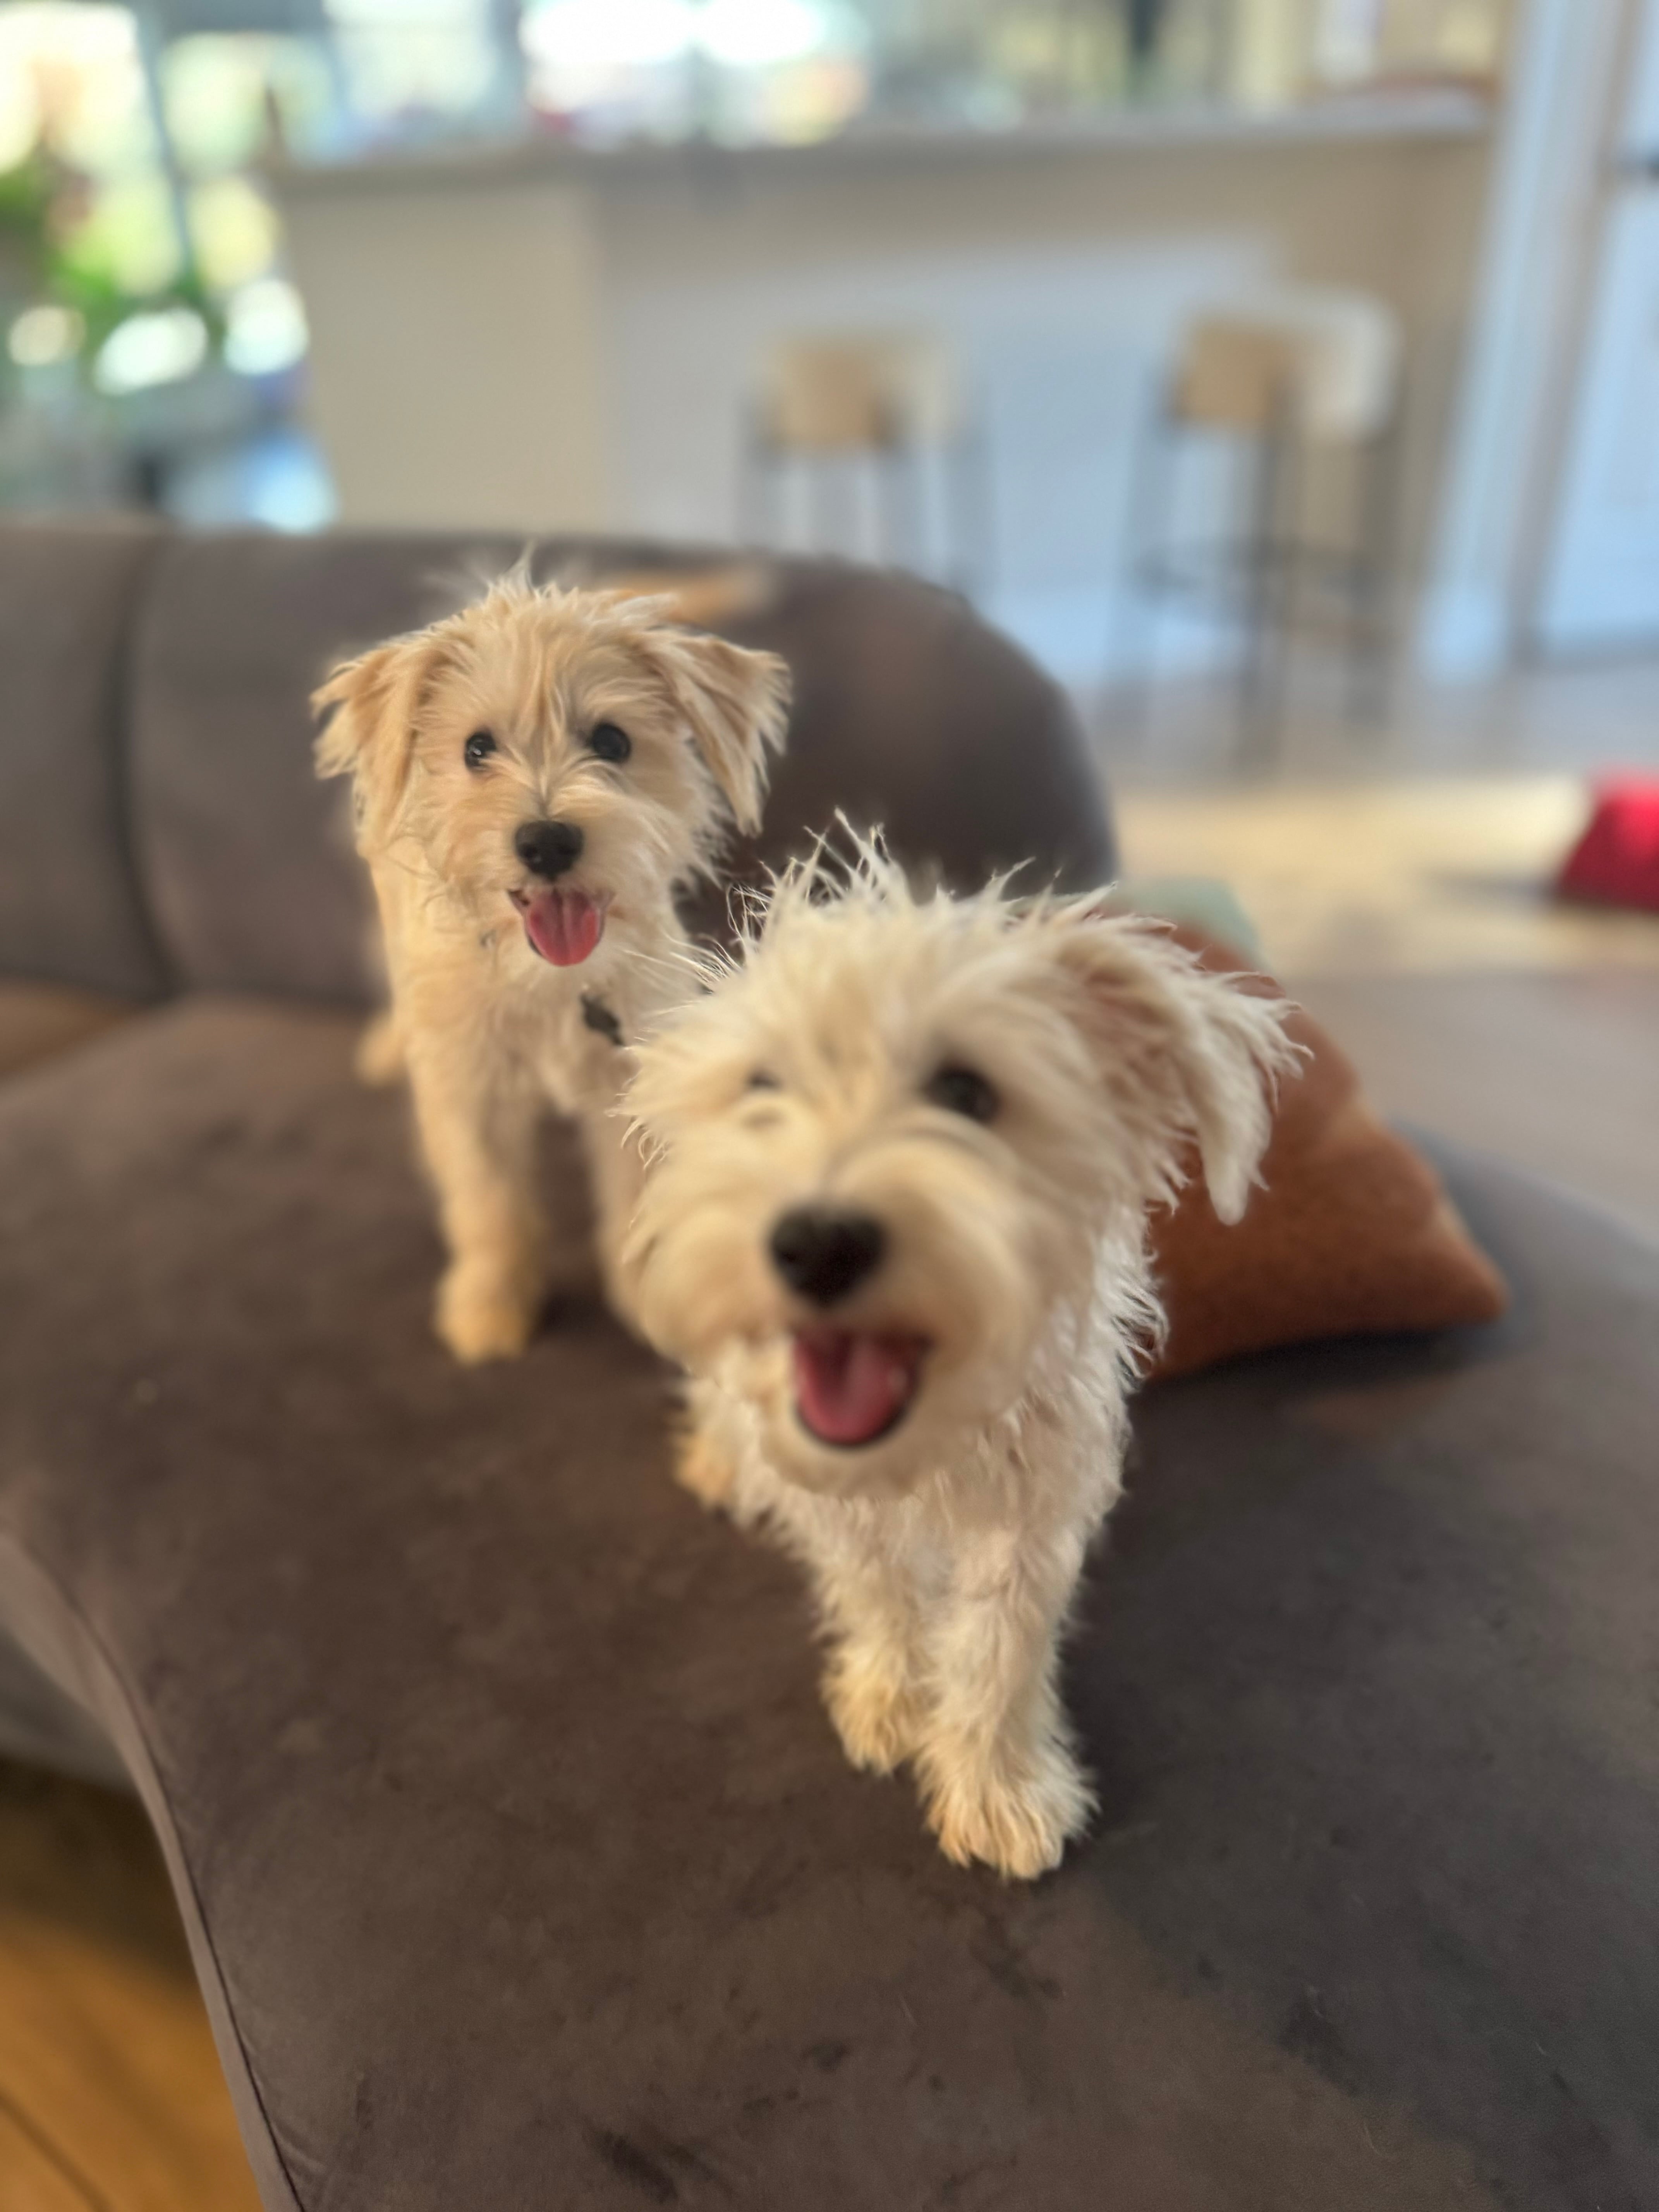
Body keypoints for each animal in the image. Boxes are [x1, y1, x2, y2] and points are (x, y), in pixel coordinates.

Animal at [313, 569, 790, 1362]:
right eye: (477, 750)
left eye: (611, 742)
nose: (546, 841)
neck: (549, 983)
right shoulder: (469, 1087)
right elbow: (487, 1201)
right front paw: (490, 1304)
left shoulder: (633, 1076)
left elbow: (634, 1197)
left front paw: (646, 1298)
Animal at [622, 841, 1300, 1878]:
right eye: (762, 1090)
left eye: (968, 1096)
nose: (817, 1243)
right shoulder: (837, 1499)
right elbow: (877, 1591)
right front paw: (891, 1695)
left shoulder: (1033, 1504)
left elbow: (1000, 1646)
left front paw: (996, 1786)